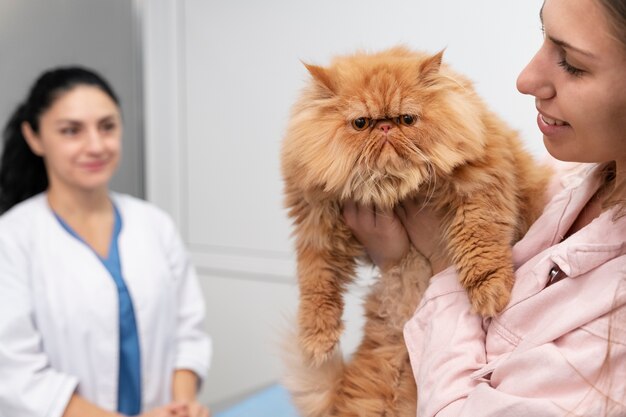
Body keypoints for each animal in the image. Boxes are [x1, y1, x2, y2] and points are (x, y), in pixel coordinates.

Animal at [280, 46, 548, 416]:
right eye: (361, 123)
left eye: (407, 119)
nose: (385, 127)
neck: (391, 185)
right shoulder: (316, 222)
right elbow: (317, 284)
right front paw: (317, 341)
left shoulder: (481, 187)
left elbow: (481, 246)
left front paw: (490, 294)